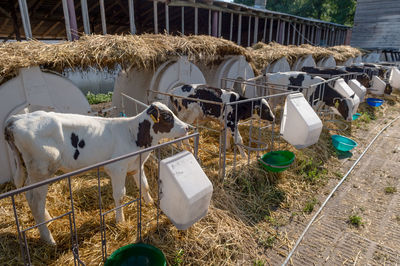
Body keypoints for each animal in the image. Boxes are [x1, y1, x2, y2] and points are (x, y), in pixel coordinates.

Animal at [3, 102, 189, 245]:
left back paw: (48, 219)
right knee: (36, 201)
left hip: (33, 172)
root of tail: (17, 119)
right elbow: (120, 196)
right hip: (41, 171)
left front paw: (150, 203)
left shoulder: (137, 165)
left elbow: (145, 185)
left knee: (31, 196)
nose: (187, 127)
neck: (133, 135)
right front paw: (120, 221)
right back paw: (48, 238)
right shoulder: (117, 168)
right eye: (167, 116)